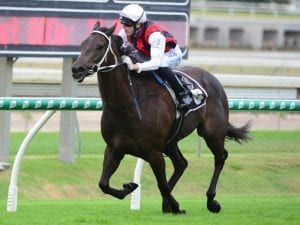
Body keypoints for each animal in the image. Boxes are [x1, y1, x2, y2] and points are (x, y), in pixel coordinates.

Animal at [71, 22, 250, 214]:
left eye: (100, 46)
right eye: (82, 44)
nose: (76, 69)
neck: (128, 104)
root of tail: (212, 78)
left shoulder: (153, 152)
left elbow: (161, 184)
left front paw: (177, 206)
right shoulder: (114, 148)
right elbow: (103, 184)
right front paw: (130, 187)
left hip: (212, 132)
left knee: (220, 157)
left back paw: (211, 201)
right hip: (170, 142)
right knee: (181, 163)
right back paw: (167, 203)